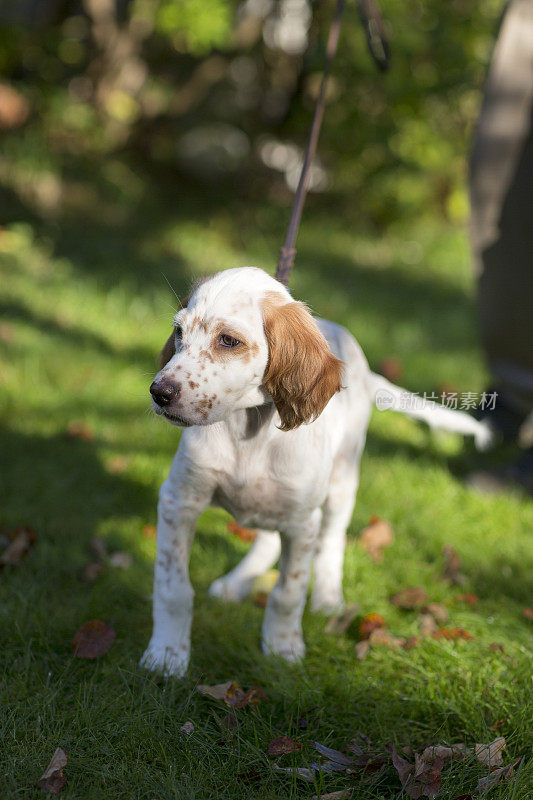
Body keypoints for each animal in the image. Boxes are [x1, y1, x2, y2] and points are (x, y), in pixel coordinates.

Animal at [140, 268, 486, 676]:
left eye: (228, 340)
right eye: (179, 332)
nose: (159, 392)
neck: (246, 431)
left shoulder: (302, 522)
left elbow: (288, 592)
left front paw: (282, 647)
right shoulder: (179, 500)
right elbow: (173, 587)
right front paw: (166, 654)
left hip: (341, 483)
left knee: (332, 542)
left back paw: (327, 599)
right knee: (268, 540)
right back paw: (237, 583)